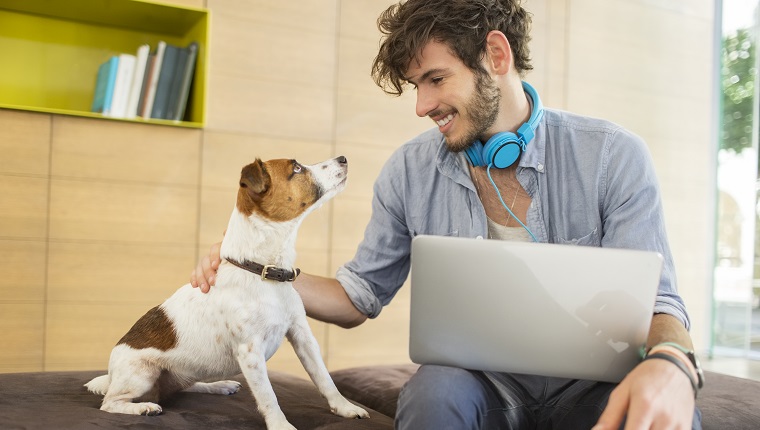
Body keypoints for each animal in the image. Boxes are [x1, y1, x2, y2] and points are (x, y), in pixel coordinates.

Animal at [86, 156, 372, 428]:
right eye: (297, 168)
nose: (343, 158)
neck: (262, 272)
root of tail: (111, 375)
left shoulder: (302, 336)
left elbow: (324, 378)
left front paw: (345, 407)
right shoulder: (251, 352)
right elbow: (268, 396)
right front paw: (281, 425)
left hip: (179, 375)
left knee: (187, 386)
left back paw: (218, 385)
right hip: (142, 375)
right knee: (110, 403)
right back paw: (142, 407)